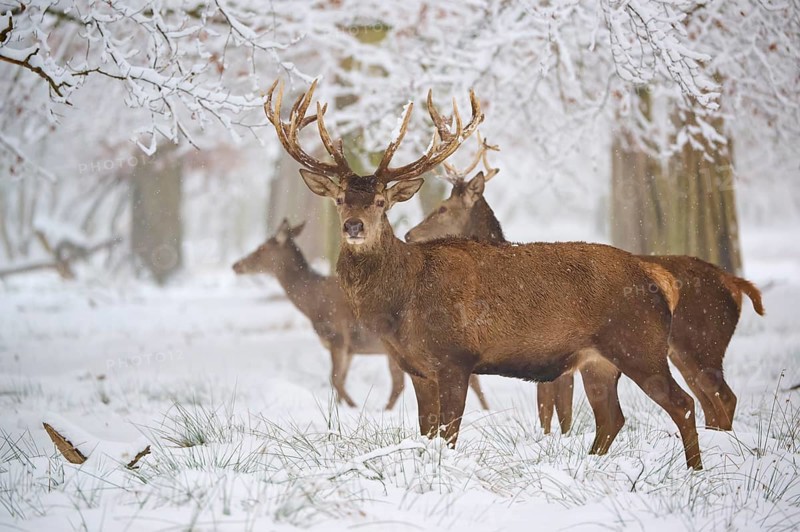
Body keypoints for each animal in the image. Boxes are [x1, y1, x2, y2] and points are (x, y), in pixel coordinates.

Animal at [232, 218, 490, 411]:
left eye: (262, 248)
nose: (236, 265)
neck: (312, 303)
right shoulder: (349, 348)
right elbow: (340, 379)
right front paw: (339, 409)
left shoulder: (338, 335)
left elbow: (335, 379)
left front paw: (353, 406)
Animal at [264, 78, 704, 469]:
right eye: (340, 199)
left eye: (380, 202)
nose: (353, 226)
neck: (402, 304)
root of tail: (659, 278)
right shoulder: (417, 368)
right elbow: (425, 432)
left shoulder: (455, 358)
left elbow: (448, 435)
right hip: (599, 360)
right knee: (612, 417)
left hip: (640, 344)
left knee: (682, 404)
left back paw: (694, 473)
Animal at [405, 136, 765, 434]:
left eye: (442, 208)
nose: (409, 234)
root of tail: (736, 284)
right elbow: (551, 412)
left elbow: (554, 413)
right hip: (685, 351)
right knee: (710, 402)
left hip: (701, 344)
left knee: (723, 397)